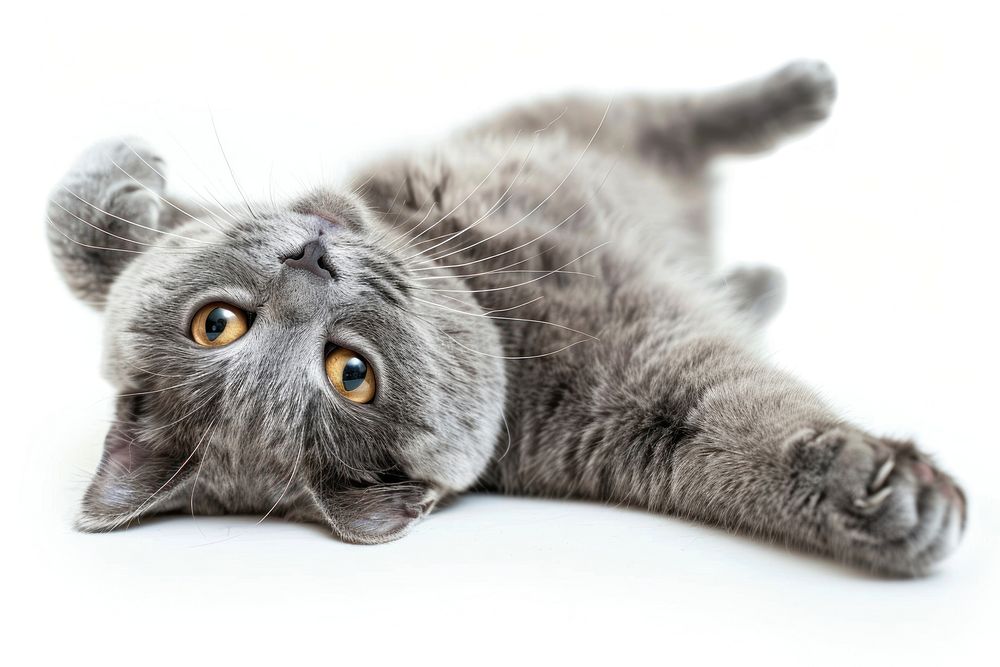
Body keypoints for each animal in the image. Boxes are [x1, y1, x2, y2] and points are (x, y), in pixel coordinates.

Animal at [45, 60, 960, 576]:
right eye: (353, 374)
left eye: (216, 324)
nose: (310, 261)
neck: (496, 296)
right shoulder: (641, 402)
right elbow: (737, 434)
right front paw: (891, 503)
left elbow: (89, 249)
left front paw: (125, 183)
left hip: (559, 120)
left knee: (673, 118)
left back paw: (800, 92)